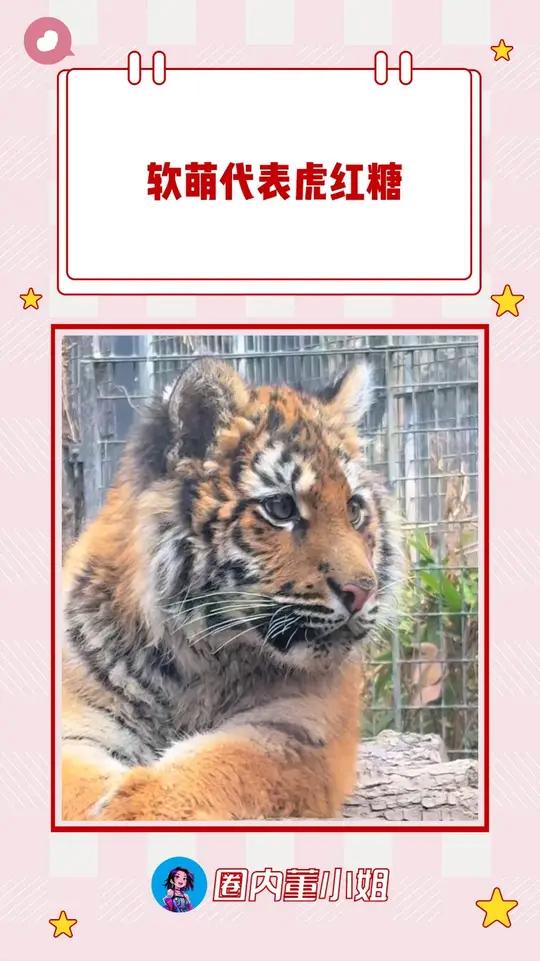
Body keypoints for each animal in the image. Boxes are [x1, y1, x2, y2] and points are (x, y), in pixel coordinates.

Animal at [62, 358, 402, 821]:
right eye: (281, 508)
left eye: (354, 510)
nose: (362, 592)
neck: (194, 659)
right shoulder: (75, 726)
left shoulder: (292, 731)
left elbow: (211, 770)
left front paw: (135, 811)